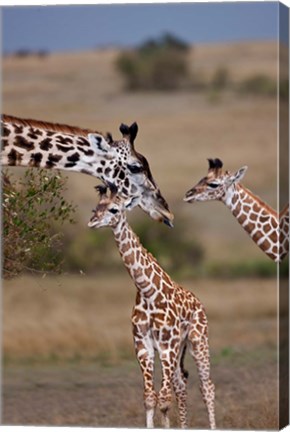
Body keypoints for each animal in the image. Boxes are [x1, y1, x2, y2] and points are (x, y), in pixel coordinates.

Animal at [88, 185, 215, 428]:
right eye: (95, 208)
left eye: (114, 209)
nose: (92, 222)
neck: (147, 290)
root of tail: (199, 303)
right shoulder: (142, 344)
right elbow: (149, 397)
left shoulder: (167, 345)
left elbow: (163, 400)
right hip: (180, 350)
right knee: (181, 386)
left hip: (197, 341)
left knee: (207, 387)